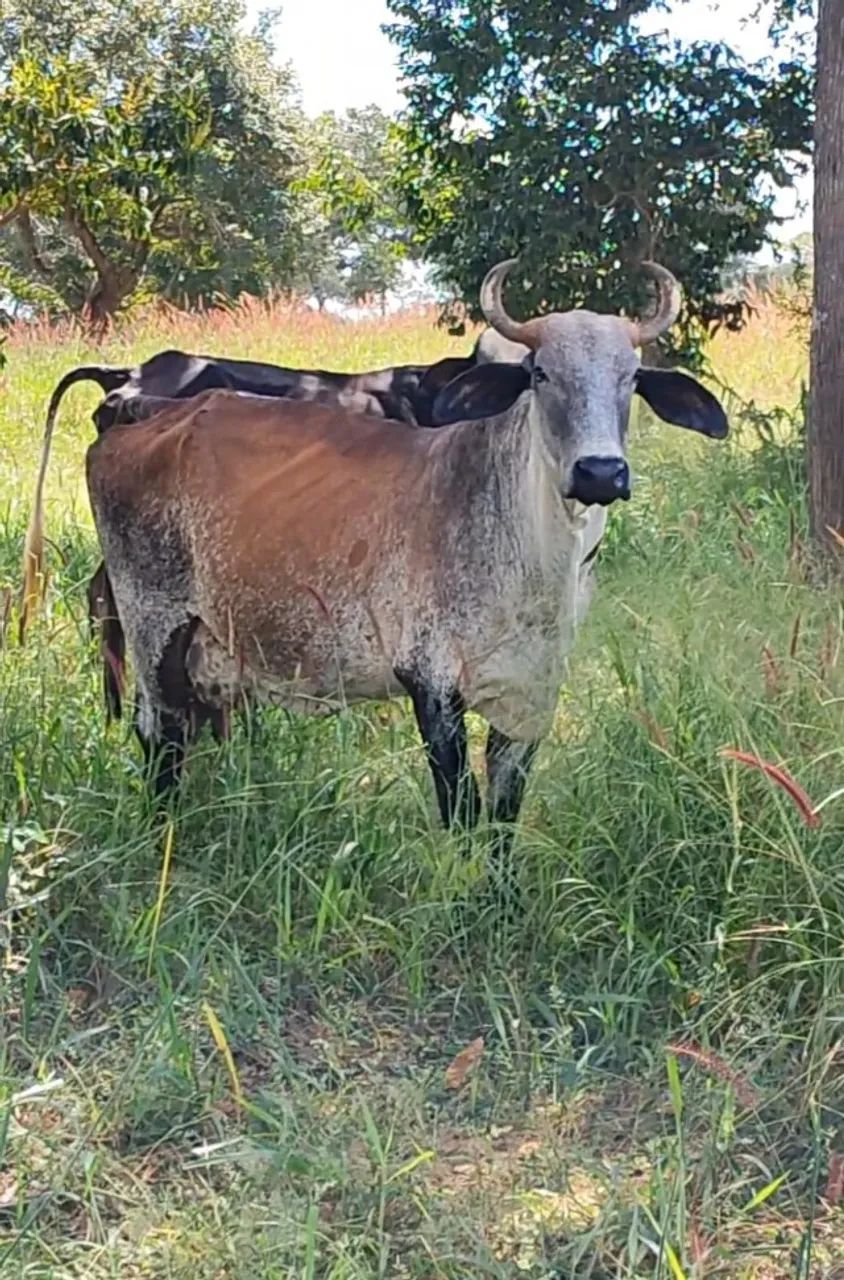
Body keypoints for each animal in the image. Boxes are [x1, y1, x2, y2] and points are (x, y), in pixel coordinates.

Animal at [72, 257, 727, 854]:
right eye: (540, 373)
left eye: (632, 376)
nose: (600, 473)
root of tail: (142, 414)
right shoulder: (431, 684)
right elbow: (462, 813)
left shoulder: (532, 694)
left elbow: (503, 819)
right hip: (155, 626)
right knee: (161, 732)